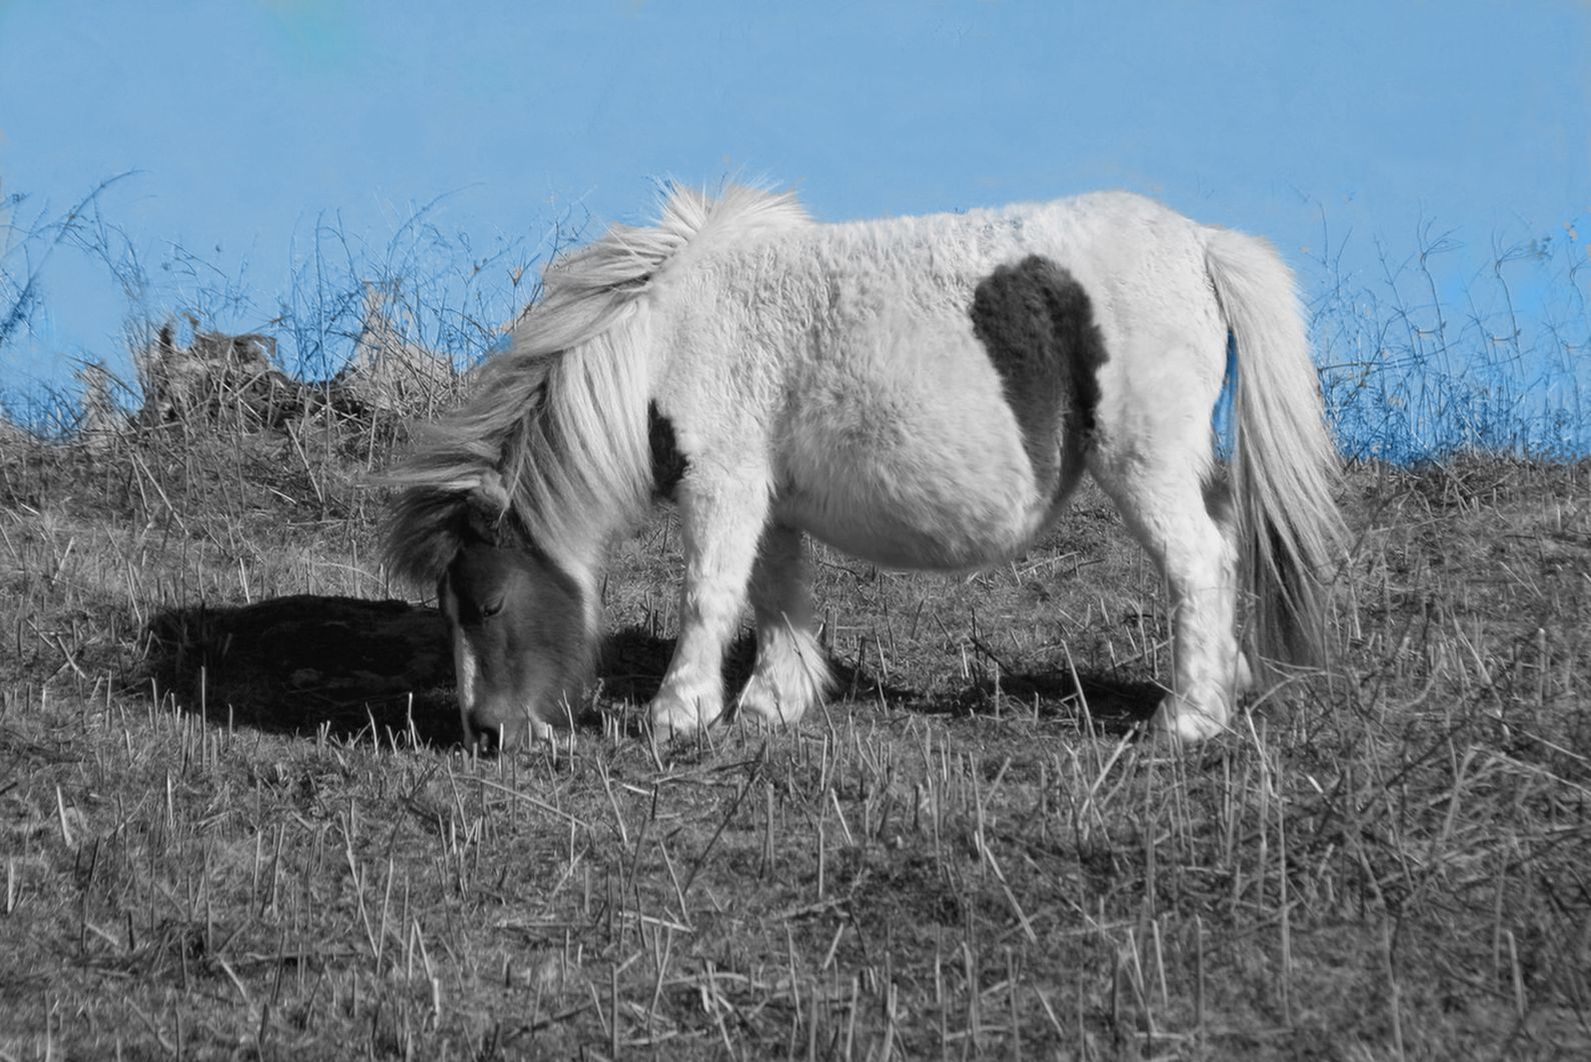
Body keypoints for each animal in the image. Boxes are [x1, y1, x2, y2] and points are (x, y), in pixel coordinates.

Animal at [385, 182, 1342, 747]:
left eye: (488, 603)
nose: (487, 733)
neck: (662, 337)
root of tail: (1204, 244)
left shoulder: (721, 482)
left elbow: (708, 594)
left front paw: (678, 712)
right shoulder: (766, 496)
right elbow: (772, 592)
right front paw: (774, 699)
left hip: (1146, 466)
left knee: (1199, 565)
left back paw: (1188, 717)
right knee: (1223, 551)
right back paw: (1225, 682)